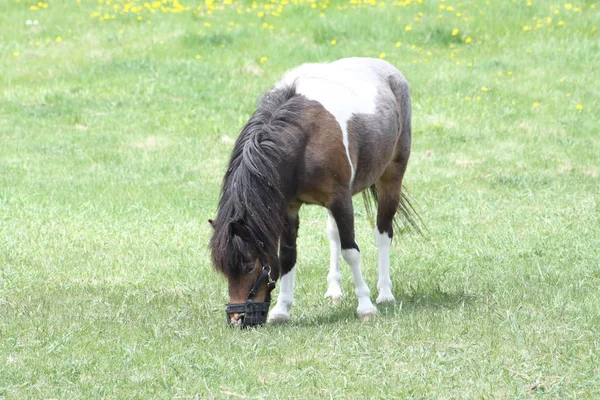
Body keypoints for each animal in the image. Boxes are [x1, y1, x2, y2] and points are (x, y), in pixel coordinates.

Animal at [209, 58, 420, 328]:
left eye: (248, 266)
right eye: (224, 270)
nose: (237, 319)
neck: (303, 142)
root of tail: (387, 69)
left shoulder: (341, 200)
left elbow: (351, 251)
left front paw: (365, 306)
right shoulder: (289, 208)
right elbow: (287, 257)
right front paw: (282, 310)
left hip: (391, 177)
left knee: (383, 232)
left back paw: (384, 293)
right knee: (334, 235)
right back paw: (335, 290)